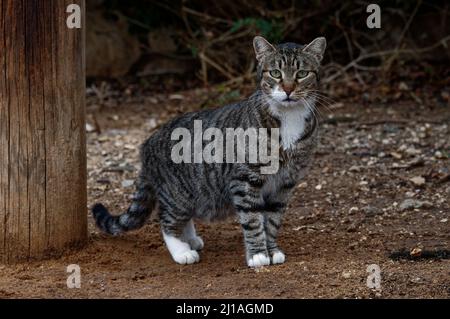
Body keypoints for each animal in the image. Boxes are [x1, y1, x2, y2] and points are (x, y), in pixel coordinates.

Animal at [93, 35, 326, 268]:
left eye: (302, 74)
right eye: (276, 73)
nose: (288, 89)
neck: (289, 117)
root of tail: (147, 144)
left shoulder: (285, 183)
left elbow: (272, 221)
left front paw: (273, 250)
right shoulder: (245, 178)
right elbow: (253, 220)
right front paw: (258, 255)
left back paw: (190, 240)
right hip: (178, 192)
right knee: (166, 220)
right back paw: (181, 251)